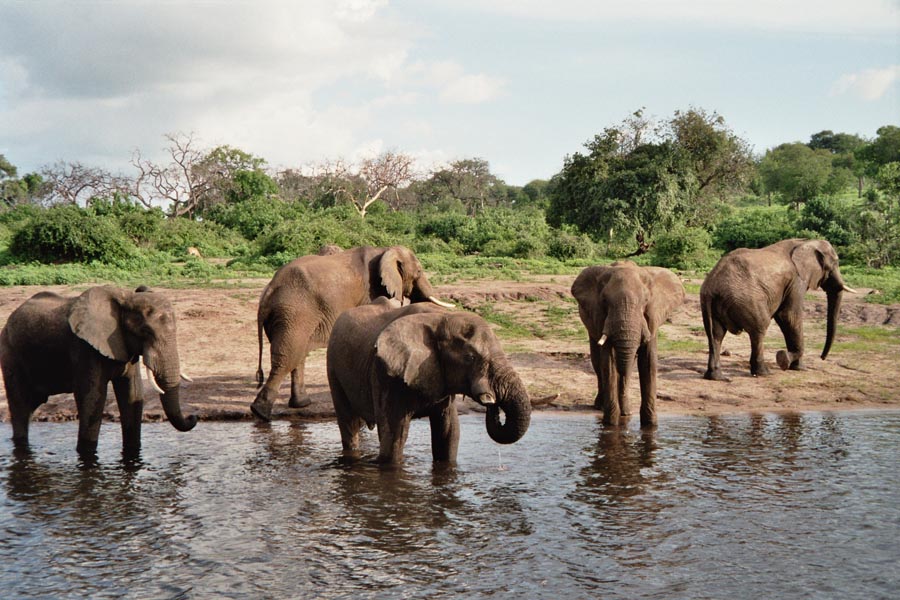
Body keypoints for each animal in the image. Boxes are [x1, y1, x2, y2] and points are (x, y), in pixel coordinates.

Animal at [0, 286, 197, 454]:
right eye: (146, 331)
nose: (193, 417)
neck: (126, 297)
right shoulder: (84, 348)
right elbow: (92, 396)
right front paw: (86, 454)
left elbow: (132, 393)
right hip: (10, 352)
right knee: (20, 406)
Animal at [251, 244, 450, 422]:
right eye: (419, 272)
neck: (384, 250)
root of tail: (268, 291)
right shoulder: (369, 291)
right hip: (294, 312)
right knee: (288, 357)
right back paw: (260, 413)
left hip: (287, 317)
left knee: (298, 354)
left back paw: (299, 404)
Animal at [326, 298, 532, 464]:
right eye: (470, 357)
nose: (492, 402)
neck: (442, 318)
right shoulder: (386, 374)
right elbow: (394, 439)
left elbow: (448, 435)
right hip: (333, 365)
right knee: (348, 423)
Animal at [572, 262, 684, 426]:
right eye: (604, 301)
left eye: (646, 301)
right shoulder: (601, 316)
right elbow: (608, 363)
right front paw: (611, 424)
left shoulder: (652, 317)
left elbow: (648, 362)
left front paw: (650, 425)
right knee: (597, 361)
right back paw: (601, 407)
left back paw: (625, 412)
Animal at [700, 238, 856, 380]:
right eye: (835, 263)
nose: (822, 357)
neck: (806, 242)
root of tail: (712, 285)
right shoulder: (797, 281)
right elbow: (789, 316)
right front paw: (785, 359)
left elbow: (785, 318)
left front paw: (797, 367)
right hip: (748, 300)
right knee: (759, 329)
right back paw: (764, 373)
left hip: (711, 303)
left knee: (716, 335)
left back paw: (716, 377)